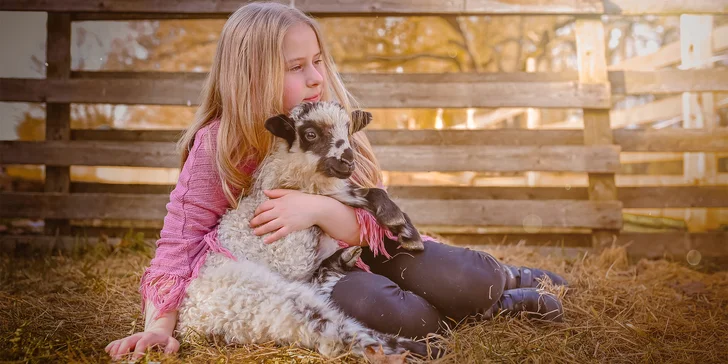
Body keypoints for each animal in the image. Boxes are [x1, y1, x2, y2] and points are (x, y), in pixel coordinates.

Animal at [178, 101, 438, 362]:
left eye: (348, 129)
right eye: (310, 134)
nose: (348, 161)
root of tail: (190, 322)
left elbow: (364, 192)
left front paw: (405, 230)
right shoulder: (290, 258)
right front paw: (398, 223)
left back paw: (341, 261)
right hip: (274, 302)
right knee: (341, 334)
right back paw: (426, 349)